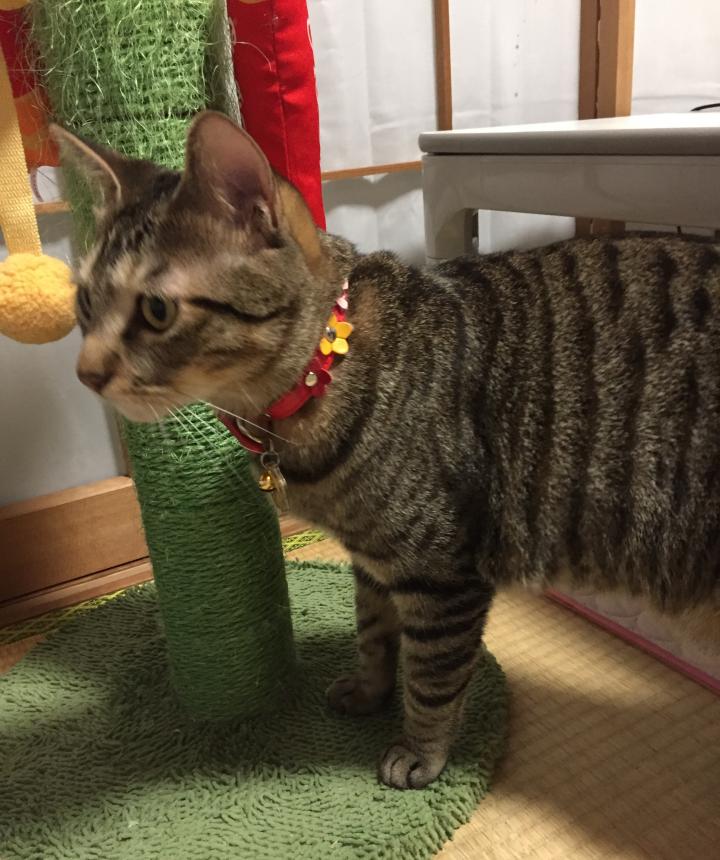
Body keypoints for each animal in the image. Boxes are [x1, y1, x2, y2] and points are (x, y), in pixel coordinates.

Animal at [54, 112, 720, 790]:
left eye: (157, 310)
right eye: (84, 302)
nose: (85, 373)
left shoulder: (442, 572)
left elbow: (432, 676)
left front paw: (421, 751)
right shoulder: (373, 560)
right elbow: (374, 633)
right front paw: (370, 691)